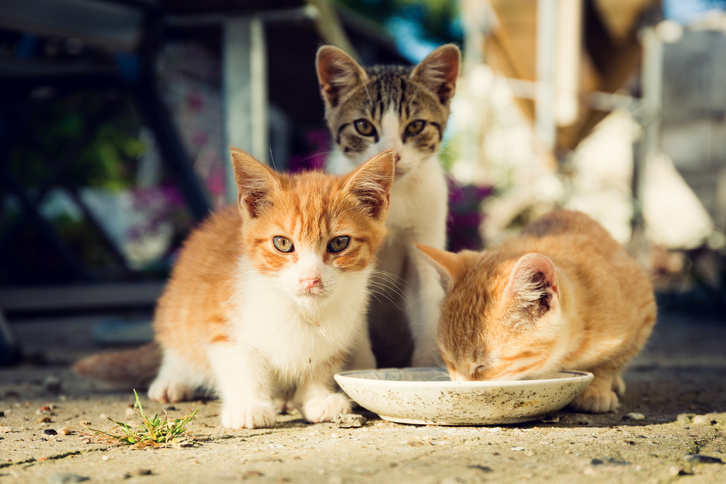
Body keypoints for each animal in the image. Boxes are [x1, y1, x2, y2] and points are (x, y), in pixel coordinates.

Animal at [76, 147, 396, 428]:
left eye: (339, 243)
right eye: (282, 243)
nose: (310, 279)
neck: (301, 310)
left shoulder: (344, 331)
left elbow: (320, 366)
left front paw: (318, 398)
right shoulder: (223, 325)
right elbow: (243, 365)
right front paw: (249, 406)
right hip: (177, 307)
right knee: (177, 342)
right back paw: (171, 379)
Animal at [318, 43, 460, 366]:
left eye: (416, 126)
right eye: (363, 126)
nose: (392, 154)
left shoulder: (426, 237)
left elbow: (428, 300)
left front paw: (423, 369)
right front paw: (361, 369)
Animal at [416, 210, 660, 414]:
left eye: (484, 366)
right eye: (448, 359)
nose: (460, 387)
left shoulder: (644, 309)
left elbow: (611, 361)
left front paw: (597, 388)